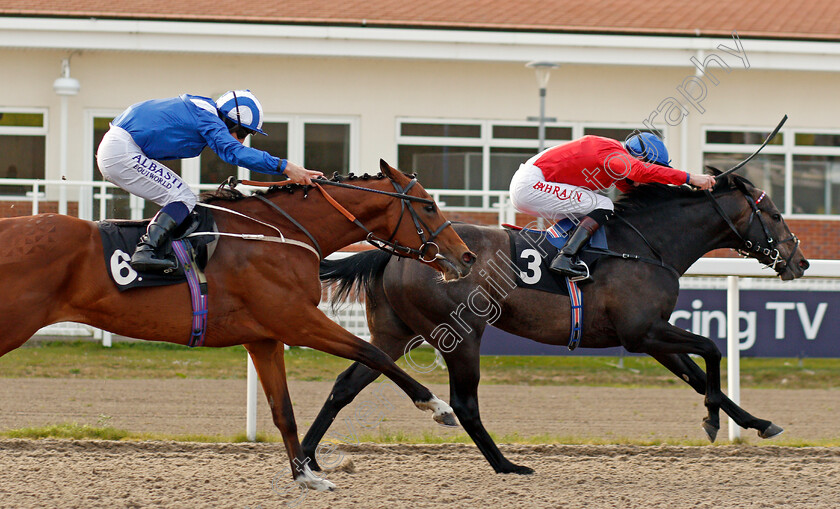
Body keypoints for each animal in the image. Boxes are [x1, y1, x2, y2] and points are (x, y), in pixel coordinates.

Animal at [0, 161, 476, 490]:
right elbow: (374, 353)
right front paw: (438, 406)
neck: (283, 232)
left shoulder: (264, 338)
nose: (466, 255)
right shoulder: (297, 321)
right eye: (429, 205)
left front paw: (305, 477)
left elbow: (283, 411)